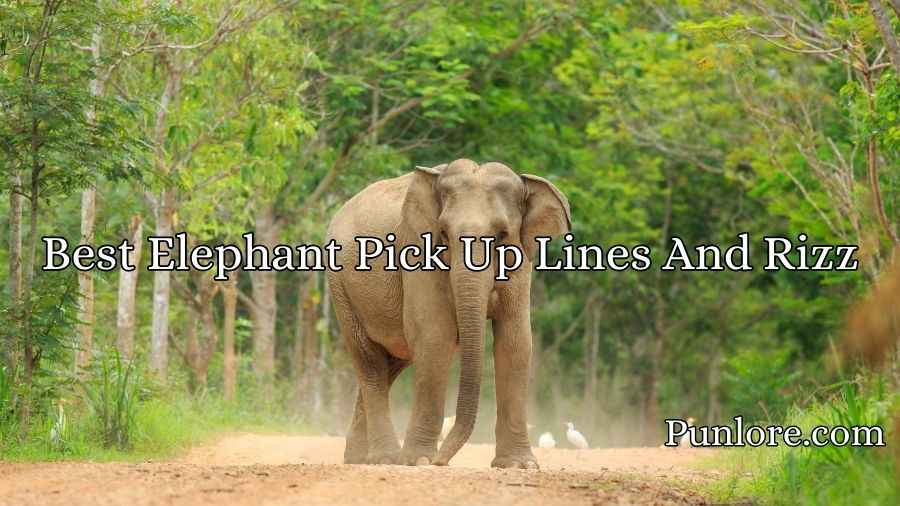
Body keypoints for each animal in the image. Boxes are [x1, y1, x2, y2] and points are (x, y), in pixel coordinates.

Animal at [325, 158, 570, 468]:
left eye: (502, 235)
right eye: (443, 234)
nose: (442, 461)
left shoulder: (521, 260)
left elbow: (515, 343)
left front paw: (519, 466)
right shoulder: (416, 250)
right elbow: (435, 335)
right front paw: (419, 460)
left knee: (392, 361)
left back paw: (360, 459)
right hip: (340, 287)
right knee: (370, 361)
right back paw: (386, 458)